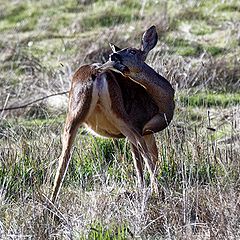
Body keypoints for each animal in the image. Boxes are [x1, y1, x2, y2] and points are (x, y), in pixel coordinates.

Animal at [50, 25, 174, 203]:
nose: (113, 55)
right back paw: (158, 192)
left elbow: (153, 156)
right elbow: (142, 159)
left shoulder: (147, 132)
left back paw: (51, 202)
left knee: (63, 157)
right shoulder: (140, 125)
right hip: (121, 116)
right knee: (143, 153)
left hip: (73, 113)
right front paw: (145, 189)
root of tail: (96, 72)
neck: (162, 104)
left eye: (133, 51)